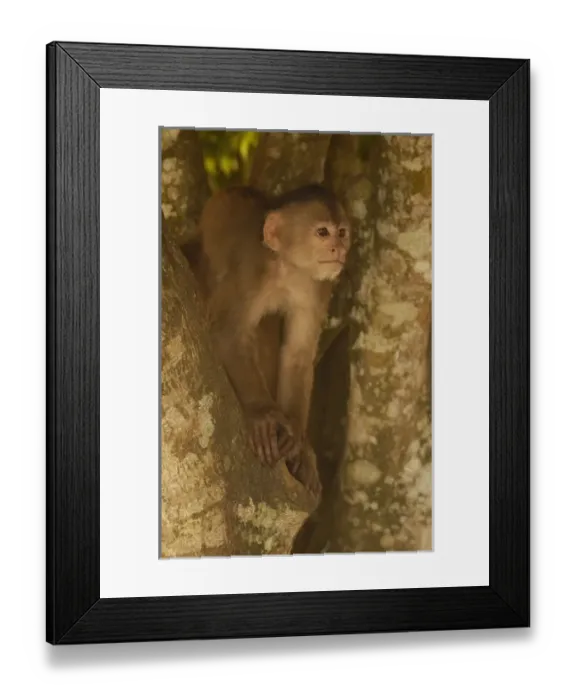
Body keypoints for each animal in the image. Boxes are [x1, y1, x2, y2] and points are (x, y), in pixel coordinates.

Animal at [198, 183, 351, 499]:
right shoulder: (251, 268)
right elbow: (230, 332)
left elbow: (297, 354)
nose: (339, 249)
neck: (286, 268)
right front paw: (262, 412)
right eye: (322, 232)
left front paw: (296, 437)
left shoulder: (315, 286)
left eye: (342, 232)